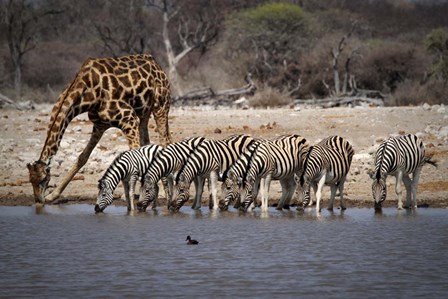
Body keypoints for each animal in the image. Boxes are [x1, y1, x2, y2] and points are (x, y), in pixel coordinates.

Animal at [27, 54, 172, 205]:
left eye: (43, 179)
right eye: (30, 180)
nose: (38, 200)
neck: (87, 93)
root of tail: (156, 64)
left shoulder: (129, 119)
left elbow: (136, 157)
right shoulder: (99, 125)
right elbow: (82, 157)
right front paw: (53, 195)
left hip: (160, 106)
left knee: (165, 143)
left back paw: (163, 193)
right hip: (144, 112)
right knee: (149, 143)